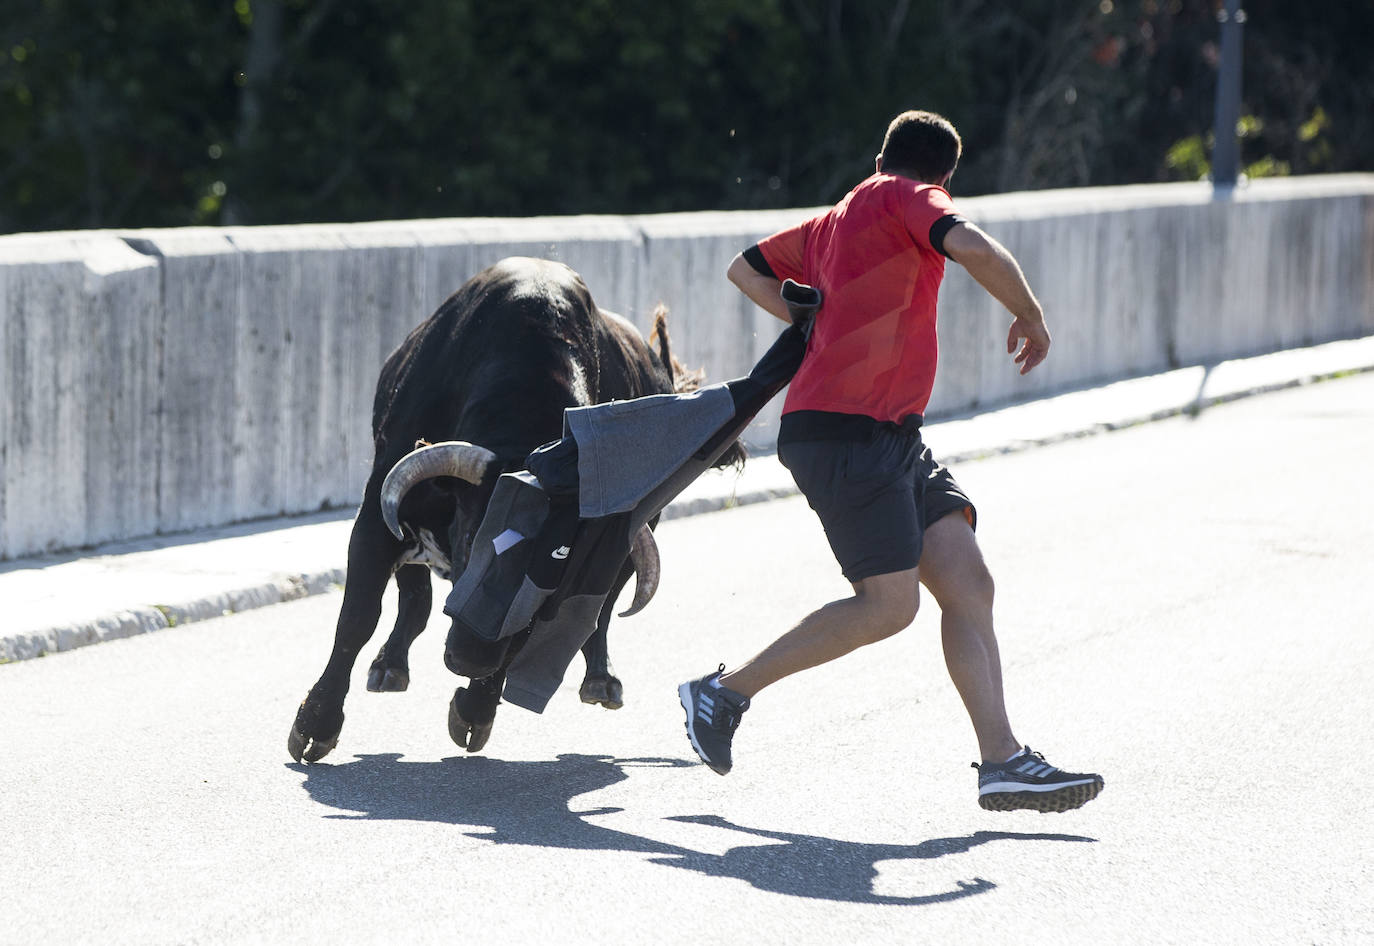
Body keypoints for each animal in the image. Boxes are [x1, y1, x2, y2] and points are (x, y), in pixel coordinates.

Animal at [284, 256, 730, 757]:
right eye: (470, 539)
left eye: (556, 576)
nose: (470, 658)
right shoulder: (379, 518)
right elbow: (358, 616)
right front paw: (315, 724)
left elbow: (528, 634)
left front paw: (475, 710)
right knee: (415, 598)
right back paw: (390, 666)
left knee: (601, 614)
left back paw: (600, 680)